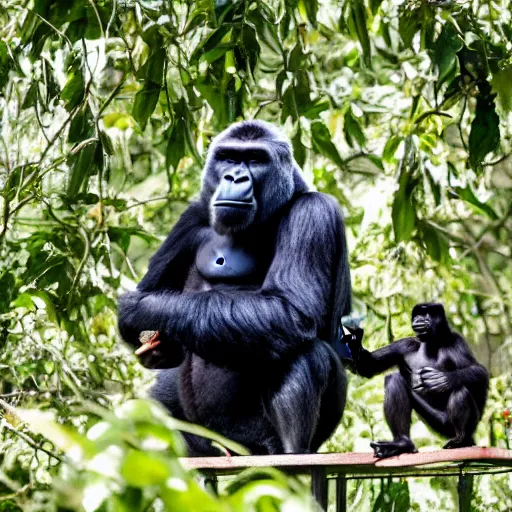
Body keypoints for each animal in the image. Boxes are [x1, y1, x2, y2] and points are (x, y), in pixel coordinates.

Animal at [118, 121, 352, 456]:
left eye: (255, 160)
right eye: (228, 158)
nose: (234, 177)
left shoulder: (312, 211)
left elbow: (290, 311)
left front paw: (143, 309)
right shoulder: (193, 217)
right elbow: (154, 290)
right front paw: (155, 341)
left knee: (302, 351)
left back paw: (290, 454)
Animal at [348, 302, 488, 458]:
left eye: (426, 313)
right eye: (417, 314)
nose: (419, 319)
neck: (433, 343)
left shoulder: (456, 341)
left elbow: (480, 373)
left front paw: (443, 379)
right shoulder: (405, 345)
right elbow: (367, 367)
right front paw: (354, 342)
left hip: (448, 426)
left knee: (460, 390)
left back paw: (462, 439)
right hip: (435, 422)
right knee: (394, 379)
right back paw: (402, 443)